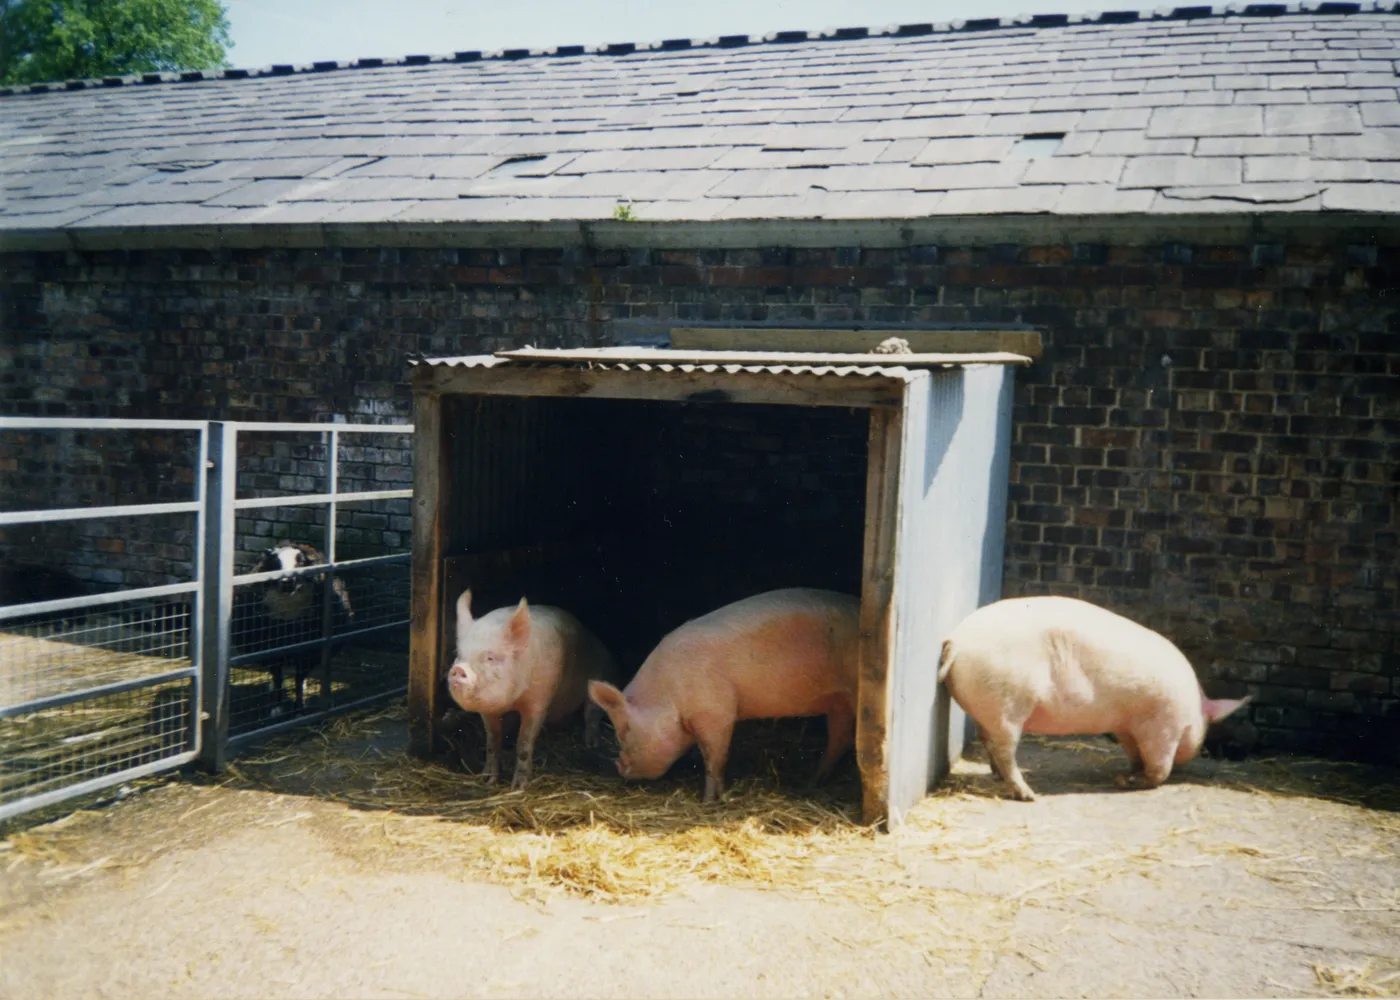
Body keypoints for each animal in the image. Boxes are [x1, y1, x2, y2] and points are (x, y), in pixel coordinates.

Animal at [447, 590, 619, 789]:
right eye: (458, 655)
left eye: (490, 657)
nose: (458, 669)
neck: (514, 701)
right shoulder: (488, 712)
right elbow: (492, 741)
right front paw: (487, 780)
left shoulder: (539, 701)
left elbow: (524, 743)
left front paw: (518, 787)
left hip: (601, 675)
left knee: (592, 713)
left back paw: (591, 744)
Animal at [587, 588, 860, 804]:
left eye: (624, 731)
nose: (618, 766)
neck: (668, 693)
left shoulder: (717, 713)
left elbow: (714, 758)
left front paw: (708, 801)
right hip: (839, 703)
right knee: (841, 739)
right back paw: (812, 782)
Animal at [938, 596, 1249, 801]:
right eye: (1206, 728)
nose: (1201, 748)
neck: (1193, 709)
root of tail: (957, 641)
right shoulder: (1163, 725)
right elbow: (1160, 767)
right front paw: (1124, 780)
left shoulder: (1126, 726)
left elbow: (1135, 753)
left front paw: (1127, 772)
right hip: (1008, 702)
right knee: (1004, 748)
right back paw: (1028, 794)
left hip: (988, 705)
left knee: (988, 739)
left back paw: (999, 777)